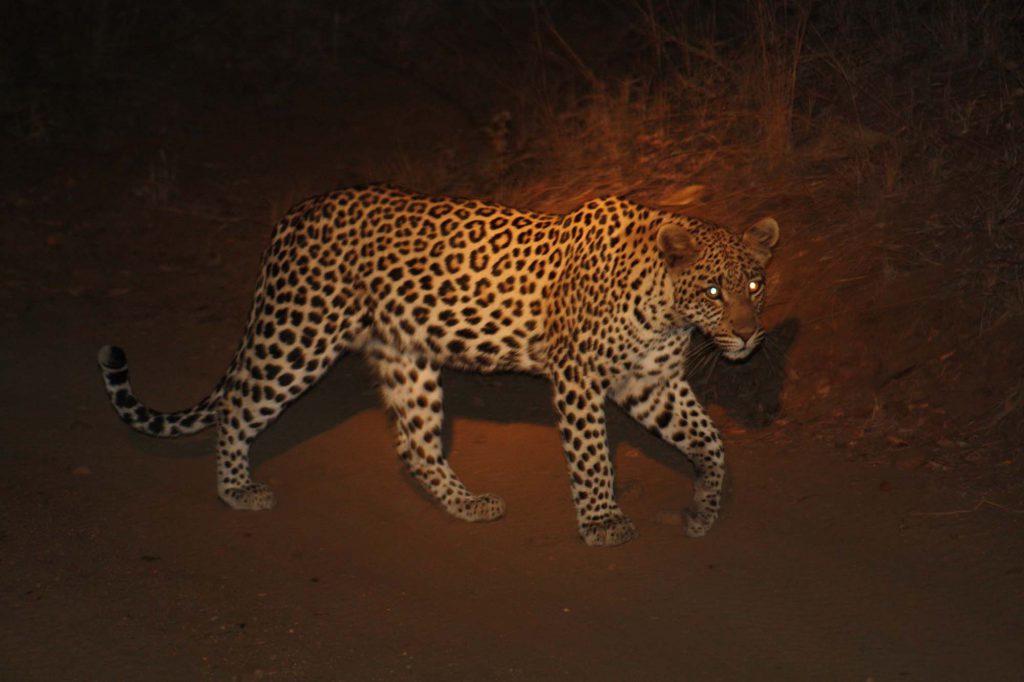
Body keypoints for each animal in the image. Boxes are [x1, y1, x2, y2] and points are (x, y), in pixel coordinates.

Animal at [98, 184, 779, 546]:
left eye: (753, 283)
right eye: (713, 290)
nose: (749, 336)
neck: (669, 309)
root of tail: (296, 213)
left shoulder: (649, 382)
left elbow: (712, 442)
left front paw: (703, 509)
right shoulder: (580, 377)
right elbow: (591, 456)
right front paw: (603, 521)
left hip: (408, 358)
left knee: (414, 446)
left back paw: (467, 504)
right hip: (299, 335)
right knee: (239, 403)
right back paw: (236, 489)